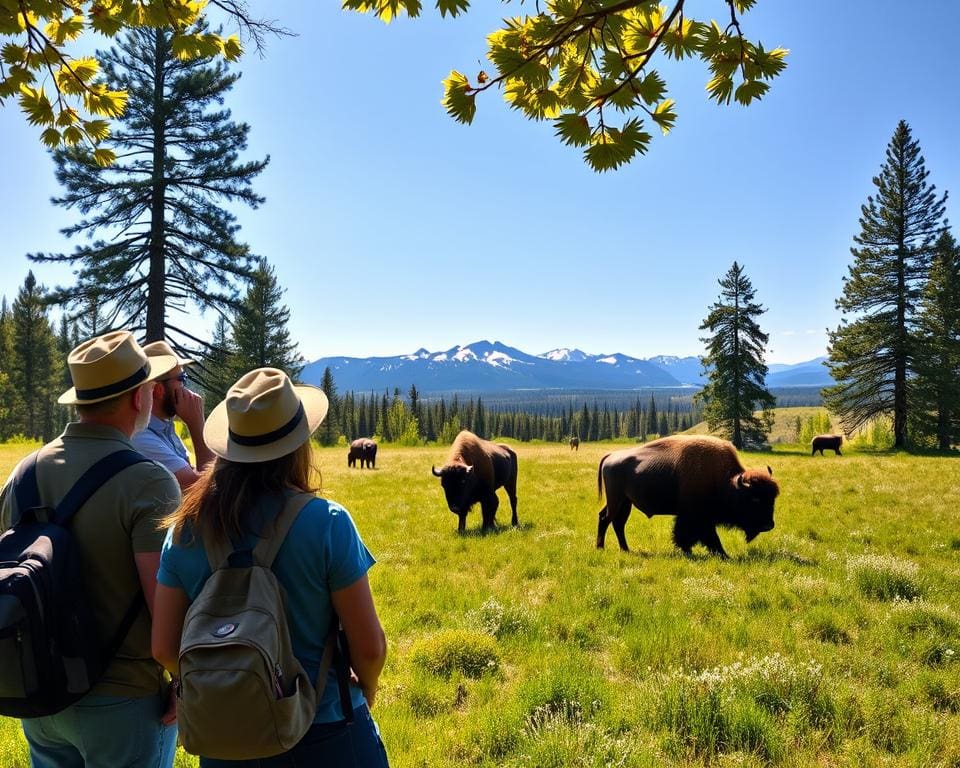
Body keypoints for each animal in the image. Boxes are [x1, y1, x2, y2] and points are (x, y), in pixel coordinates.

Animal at [600, 438, 780, 560]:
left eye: (772, 499)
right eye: (754, 499)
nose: (768, 525)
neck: (727, 482)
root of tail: (611, 455)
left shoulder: (700, 518)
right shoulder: (697, 517)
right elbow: (705, 536)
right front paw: (721, 555)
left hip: (625, 502)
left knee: (615, 522)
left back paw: (624, 549)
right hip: (617, 500)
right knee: (607, 519)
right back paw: (601, 548)